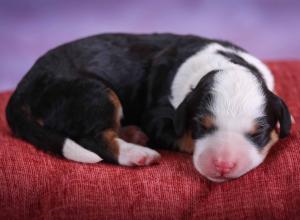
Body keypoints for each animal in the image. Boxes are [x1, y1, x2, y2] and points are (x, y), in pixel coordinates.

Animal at [5, 33, 292, 182]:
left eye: (258, 133)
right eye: (200, 126)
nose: (222, 165)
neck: (226, 62)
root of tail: (23, 86)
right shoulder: (158, 118)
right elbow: (181, 136)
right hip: (94, 92)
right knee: (94, 138)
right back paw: (137, 152)